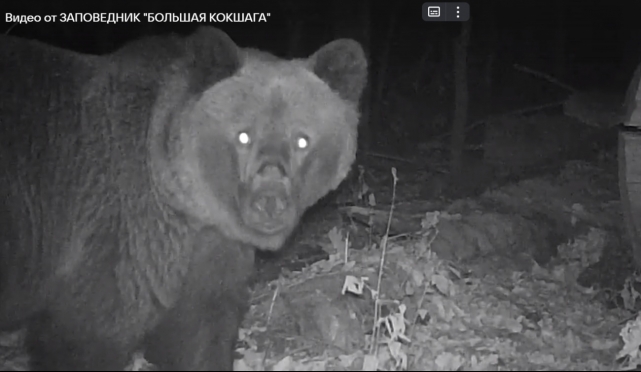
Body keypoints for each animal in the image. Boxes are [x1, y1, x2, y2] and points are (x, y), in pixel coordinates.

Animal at [0, 25, 364, 370]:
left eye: (302, 140)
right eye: (243, 135)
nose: (270, 200)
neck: (187, 207)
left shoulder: (209, 254)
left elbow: (199, 334)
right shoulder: (115, 242)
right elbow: (85, 337)